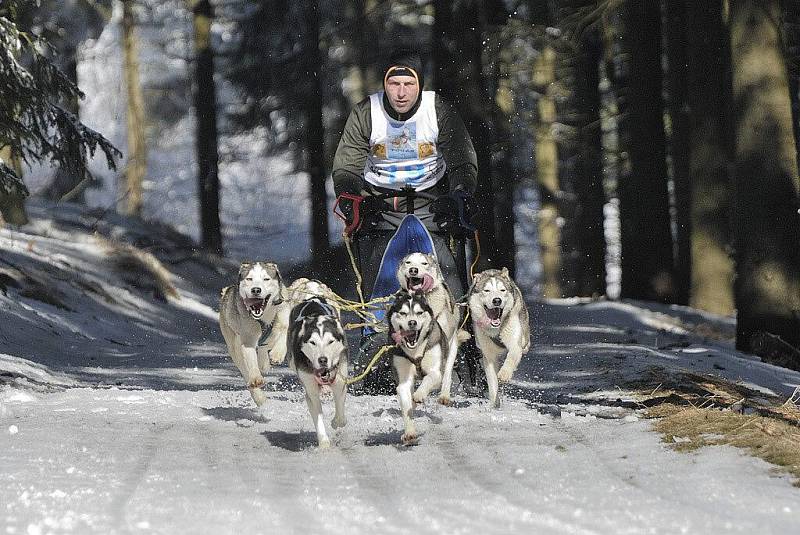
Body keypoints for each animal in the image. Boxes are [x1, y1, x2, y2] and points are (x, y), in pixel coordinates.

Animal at [219, 262, 284, 406]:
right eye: (249, 279)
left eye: (266, 279)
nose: (256, 290)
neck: (264, 319)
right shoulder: (248, 339)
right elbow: (251, 361)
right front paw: (256, 378)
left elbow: (283, 333)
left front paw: (277, 355)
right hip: (234, 347)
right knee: (245, 368)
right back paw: (259, 396)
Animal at [290, 294, 348, 448]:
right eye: (313, 342)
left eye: (330, 341)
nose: (323, 360)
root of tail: (313, 299)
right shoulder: (311, 389)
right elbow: (318, 415)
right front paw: (324, 442)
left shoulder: (340, 381)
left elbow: (340, 410)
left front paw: (336, 422)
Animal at [388, 292, 450, 446]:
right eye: (403, 313)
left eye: (419, 313)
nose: (412, 323)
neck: (415, 353)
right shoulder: (403, 381)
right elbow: (406, 406)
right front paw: (409, 433)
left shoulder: (435, 372)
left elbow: (429, 378)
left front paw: (419, 394)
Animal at [396, 253, 462, 404]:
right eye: (408, 262)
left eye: (424, 263)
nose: (413, 270)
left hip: (452, 349)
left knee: (447, 374)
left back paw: (444, 395)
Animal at [466, 270, 528, 408]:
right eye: (487, 290)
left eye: (502, 290)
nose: (497, 300)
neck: (496, 329)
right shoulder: (488, 356)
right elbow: (492, 381)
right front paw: (494, 404)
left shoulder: (514, 344)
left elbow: (512, 356)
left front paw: (504, 374)